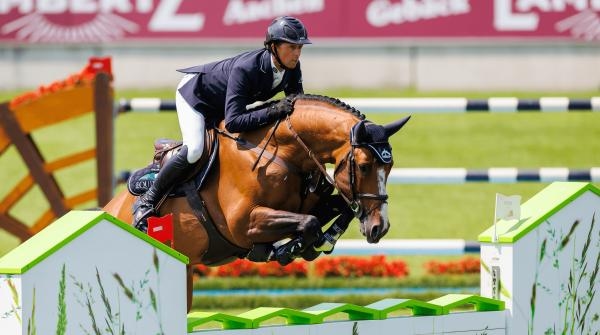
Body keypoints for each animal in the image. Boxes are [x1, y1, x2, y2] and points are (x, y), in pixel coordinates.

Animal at [105, 94, 410, 310]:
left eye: (390, 166)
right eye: (365, 166)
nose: (379, 227)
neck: (282, 152)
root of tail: (108, 210)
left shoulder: (304, 205)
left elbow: (336, 209)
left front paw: (322, 240)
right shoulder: (244, 225)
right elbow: (309, 223)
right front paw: (288, 249)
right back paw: (143, 211)